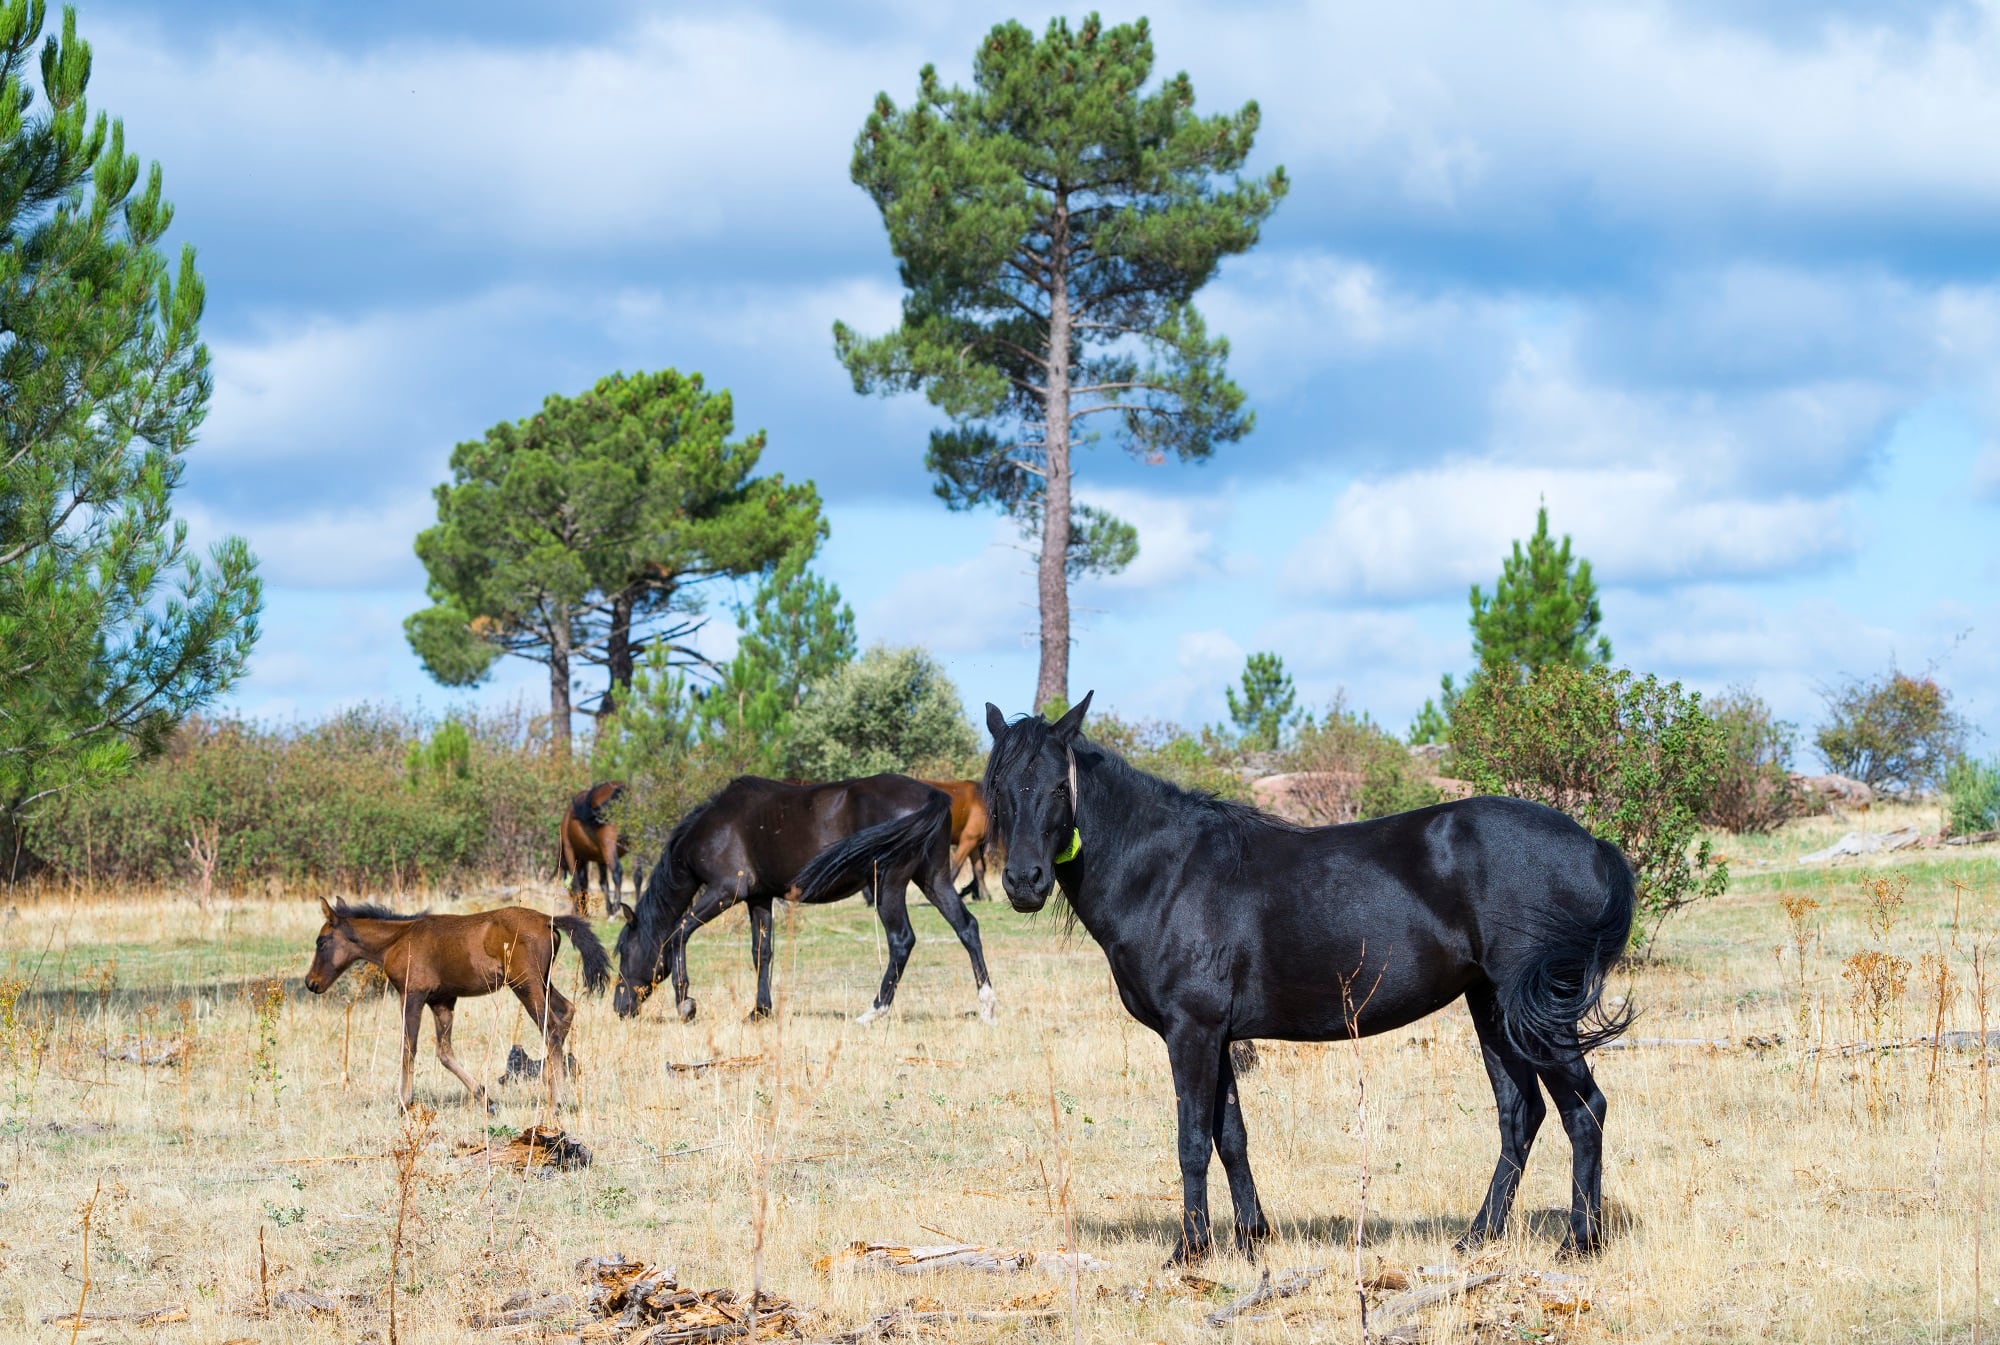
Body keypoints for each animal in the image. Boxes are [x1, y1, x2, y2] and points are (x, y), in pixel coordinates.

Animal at [300, 896, 604, 1104]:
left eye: (321, 942)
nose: (311, 983)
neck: (398, 939)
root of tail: (547, 919)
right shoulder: (442, 1001)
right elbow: (444, 1052)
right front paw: (485, 1097)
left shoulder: (412, 995)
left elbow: (408, 1048)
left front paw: (404, 1102)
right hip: (542, 982)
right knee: (566, 1013)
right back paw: (553, 1084)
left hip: (525, 985)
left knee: (551, 1028)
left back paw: (558, 1099)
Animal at [556, 784, 632, 920]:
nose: (583, 912)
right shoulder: (600, 859)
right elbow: (602, 883)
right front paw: (608, 909)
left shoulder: (570, 850)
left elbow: (576, 882)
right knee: (638, 876)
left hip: (609, 845)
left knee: (617, 872)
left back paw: (617, 908)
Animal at [600, 772, 992, 1024]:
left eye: (625, 952)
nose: (620, 1008)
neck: (717, 828)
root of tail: (933, 796)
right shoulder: (758, 898)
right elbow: (761, 953)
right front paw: (759, 1011)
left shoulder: (723, 892)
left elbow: (677, 934)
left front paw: (686, 1005)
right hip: (934, 879)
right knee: (967, 927)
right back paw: (987, 1005)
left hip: (890, 885)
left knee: (902, 941)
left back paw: (874, 1011)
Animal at [976, 700, 1632, 1264]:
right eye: (1000, 789)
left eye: (1058, 787)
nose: (1024, 882)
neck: (1167, 872)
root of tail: (1591, 844)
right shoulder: (1219, 1036)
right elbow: (1230, 1136)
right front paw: (1250, 1238)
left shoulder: (1192, 1031)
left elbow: (1193, 1139)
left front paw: (1190, 1251)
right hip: (1493, 1005)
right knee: (1521, 1114)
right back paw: (1478, 1237)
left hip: (1537, 1013)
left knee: (1584, 1110)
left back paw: (1580, 1242)